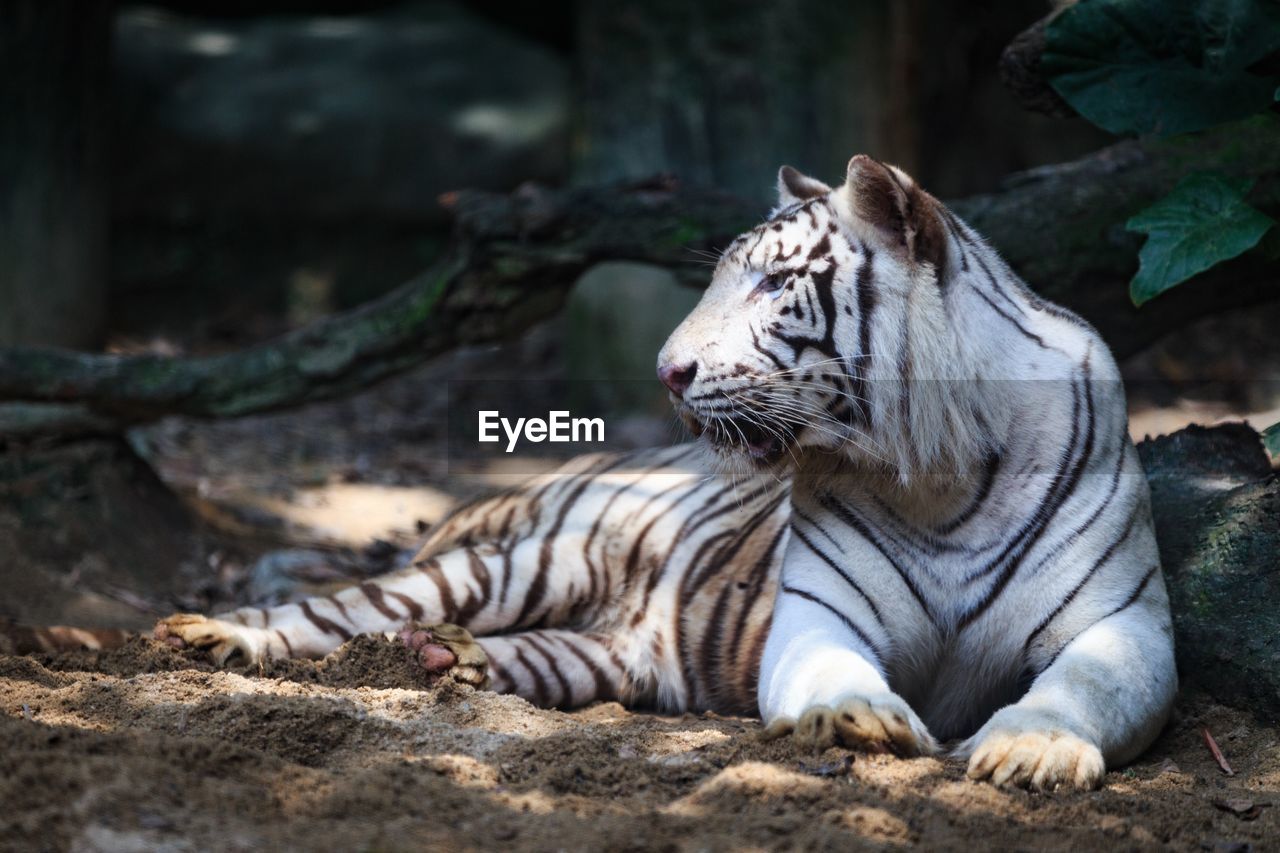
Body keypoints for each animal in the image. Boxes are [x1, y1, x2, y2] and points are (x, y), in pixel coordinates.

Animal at [154, 154, 1172, 788]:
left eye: (774, 283)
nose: (665, 371)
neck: (938, 477)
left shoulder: (1125, 624)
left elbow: (1086, 686)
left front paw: (1033, 752)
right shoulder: (822, 611)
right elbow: (836, 669)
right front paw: (859, 719)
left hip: (597, 657)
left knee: (503, 653)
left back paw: (447, 657)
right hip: (521, 562)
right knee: (332, 610)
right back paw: (214, 635)